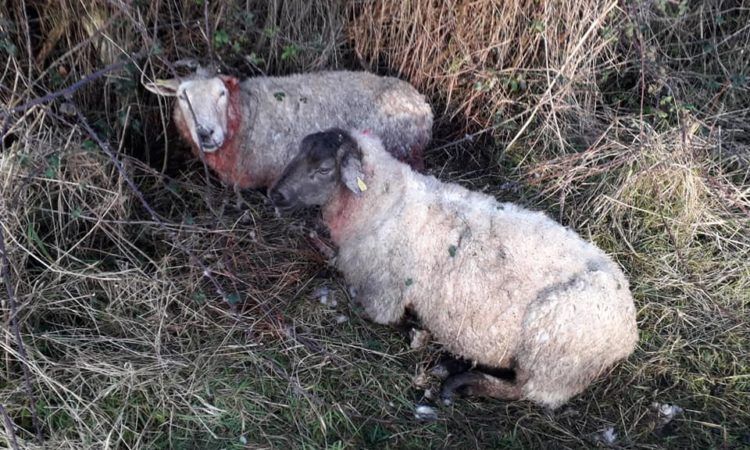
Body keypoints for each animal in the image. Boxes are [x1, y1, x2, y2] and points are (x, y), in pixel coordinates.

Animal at [268, 128, 639, 409]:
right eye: (297, 153)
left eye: (323, 169)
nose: (275, 194)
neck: (384, 204)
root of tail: (628, 334)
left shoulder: (381, 296)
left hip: (552, 357)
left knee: (528, 392)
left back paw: (464, 381)